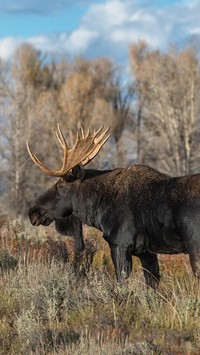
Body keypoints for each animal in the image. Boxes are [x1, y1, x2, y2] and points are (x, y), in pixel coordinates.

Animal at [27, 125, 200, 290]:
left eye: (61, 185)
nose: (33, 212)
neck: (98, 210)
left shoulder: (119, 245)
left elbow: (121, 284)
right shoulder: (146, 253)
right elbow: (152, 287)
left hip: (195, 246)